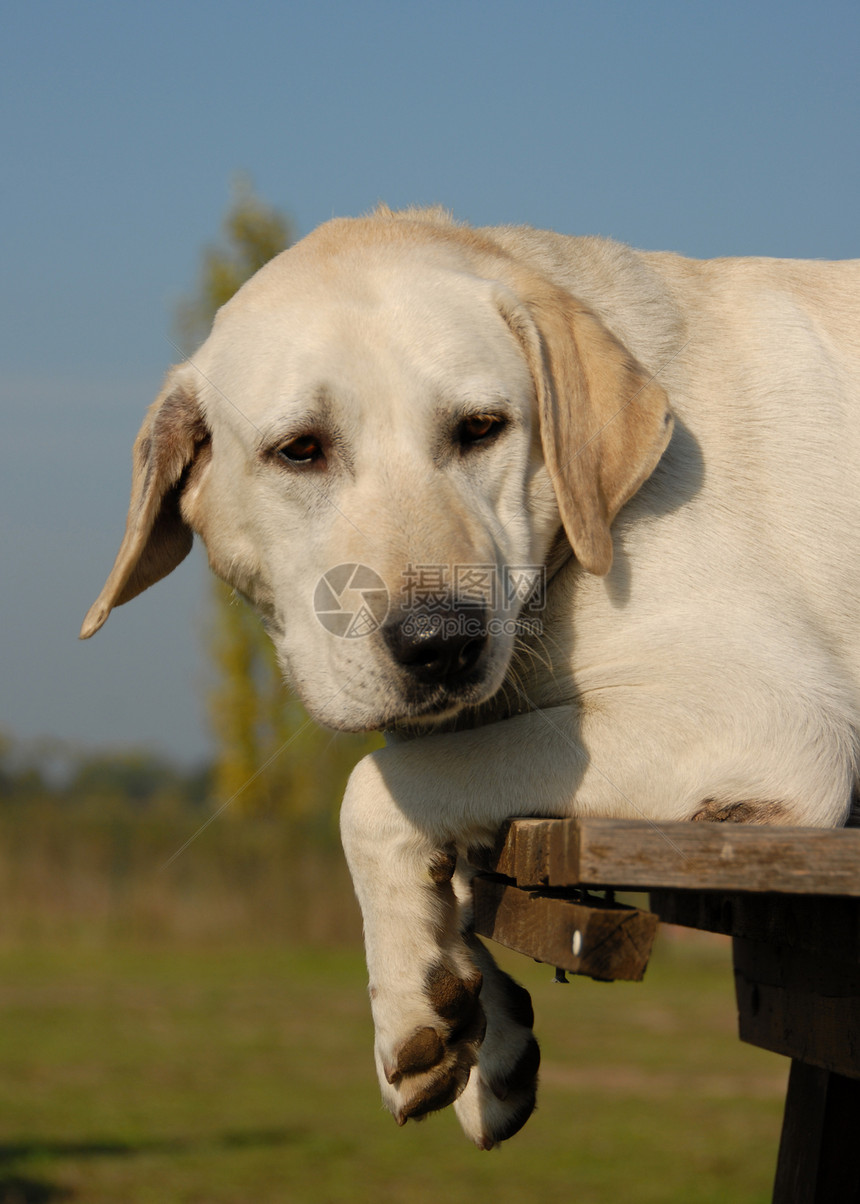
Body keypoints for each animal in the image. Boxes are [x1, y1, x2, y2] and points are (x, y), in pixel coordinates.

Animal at [80, 207, 857, 1146]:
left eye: (481, 428)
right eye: (300, 451)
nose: (441, 644)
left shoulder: (770, 714)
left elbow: (375, 789)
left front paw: (409, 1003)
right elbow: (448, 833)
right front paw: (477, 1015)